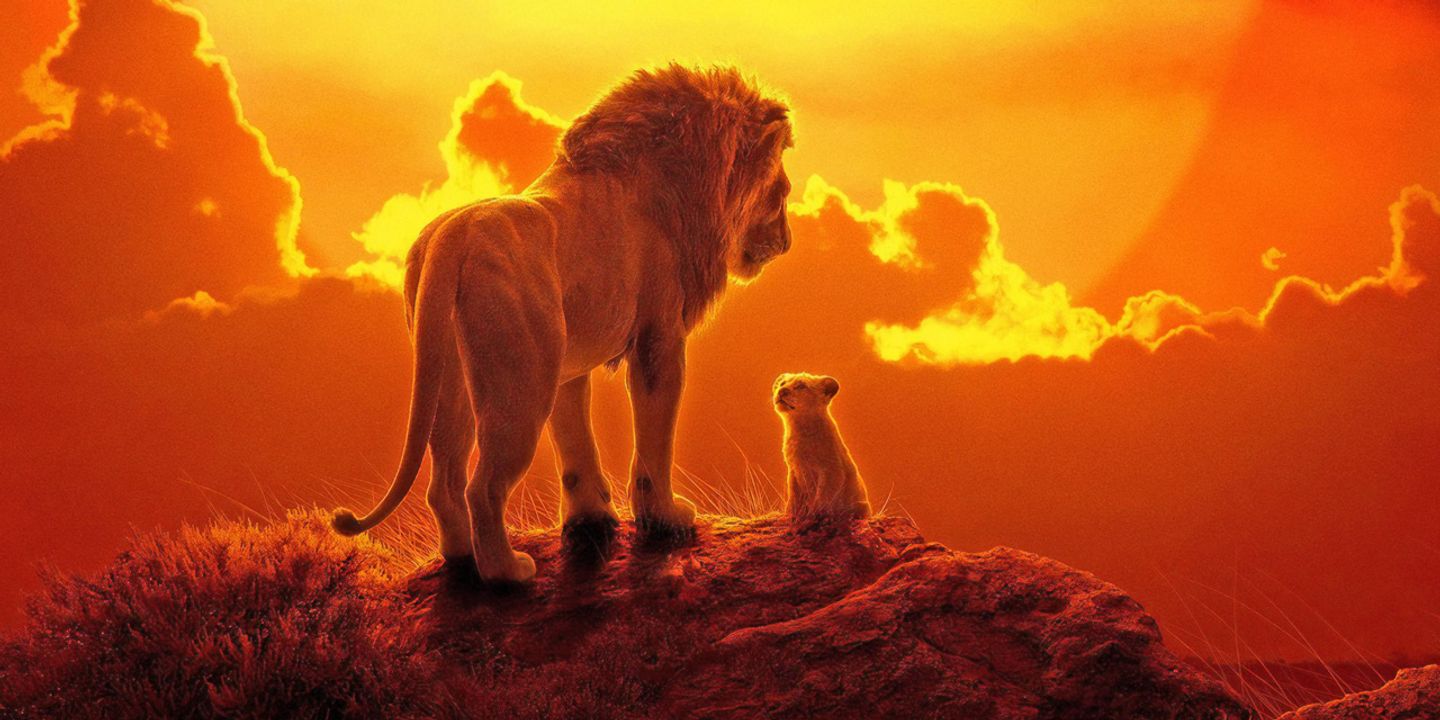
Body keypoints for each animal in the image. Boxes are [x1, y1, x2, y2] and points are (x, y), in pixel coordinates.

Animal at [332, 65, 794, 583]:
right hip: (521, 383)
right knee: (483, 487)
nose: (787, 241)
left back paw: (462, 558)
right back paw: (508, 572)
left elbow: (575, 443)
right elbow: (654, 440)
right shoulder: (659, 339)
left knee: (445, 481)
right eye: (782, 194)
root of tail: (453, 238)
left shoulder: (568, 364)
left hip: (450, 375)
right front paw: (666, 518)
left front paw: (591, 518)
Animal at [773, 373, 871, 524]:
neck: (798, 428)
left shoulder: (832, 470)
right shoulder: (793, 470)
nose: (782, 391)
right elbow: (793, 495)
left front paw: (815, 517)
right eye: (783, 383)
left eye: (801, 386)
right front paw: (790, 515)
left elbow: (823, 495)